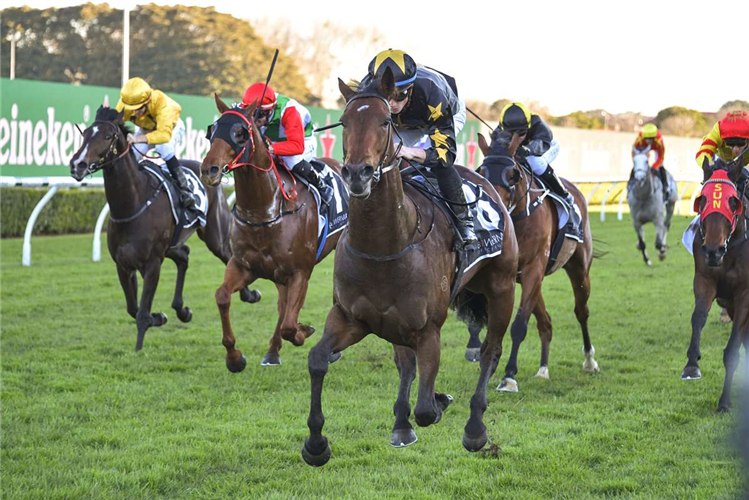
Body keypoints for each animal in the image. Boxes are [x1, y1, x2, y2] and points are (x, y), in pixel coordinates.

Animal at [68, 104, 260, 352]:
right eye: (85, 134)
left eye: (108, 136)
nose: (77, 164)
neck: (133, 204)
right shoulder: (123, 264)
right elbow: (133, 308)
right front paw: (158, 317)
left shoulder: (152, 264)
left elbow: (141, 312)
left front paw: (139, 346)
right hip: (171, 244)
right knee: (184, 256)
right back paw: (182, 309)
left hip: (214, 234)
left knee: (227, 255)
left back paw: (249, 294)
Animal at [200, 94, 344, 368]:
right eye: (212, 131)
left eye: (240, 132)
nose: (209, 170)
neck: (264, 211)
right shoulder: (244, 265)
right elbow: (222, 296)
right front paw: (234, 358)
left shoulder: (300, 272)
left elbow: (290, 325)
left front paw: (304, 331)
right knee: (281, 304)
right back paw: (272, 352)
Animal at [300, 68, 516, 466]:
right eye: (345, 121)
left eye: (384, 121)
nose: (357, 173)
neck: (385, 246)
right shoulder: (351, 317)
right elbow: (318, 358)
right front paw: (316, 444)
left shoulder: (428, 329)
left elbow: (428, 409)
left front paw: (442, 401)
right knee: (406, 363)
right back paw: (401, 424)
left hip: (502, 287)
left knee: (490, 352)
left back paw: (475, 428)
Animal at [476, 130, 600, 394]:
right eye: (481, 172)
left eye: (512, 175)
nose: (493, 208)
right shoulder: (510, 276)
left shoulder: (533, 268)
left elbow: (519, 325)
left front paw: (508, 376)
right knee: (546, 322)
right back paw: (543, 368)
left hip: (579, 269)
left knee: (581, 311)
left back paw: (589, 360)